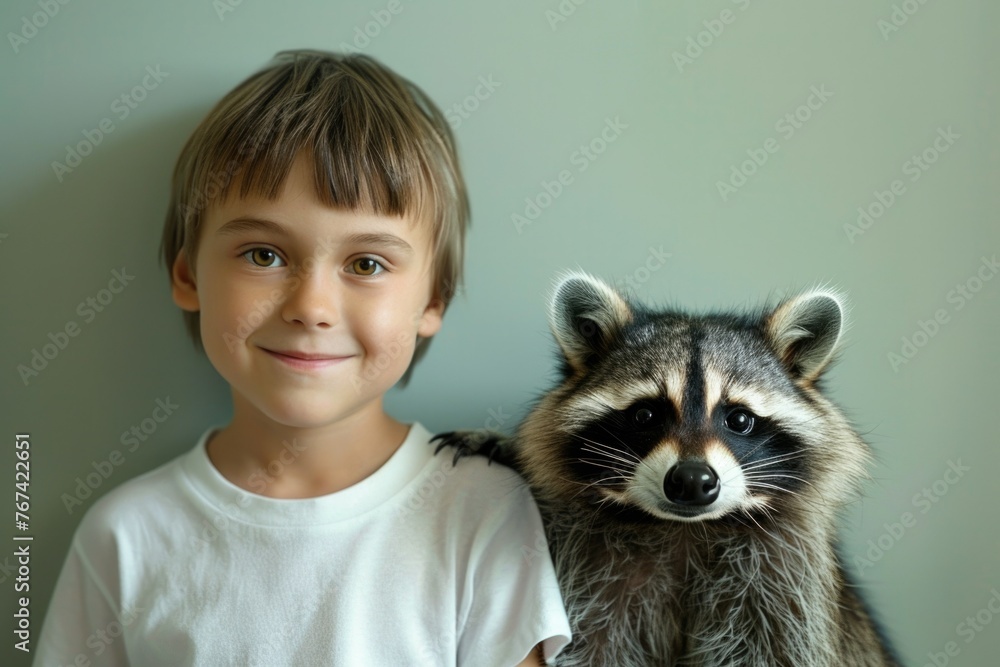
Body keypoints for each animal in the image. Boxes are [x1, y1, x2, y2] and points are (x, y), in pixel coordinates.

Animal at [433, 272, 900, 667]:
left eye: (739, 419)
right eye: (645, 416)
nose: (692, 480)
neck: (684, 528)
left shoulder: (782, 587)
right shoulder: (594, 588)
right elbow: (590, 648)